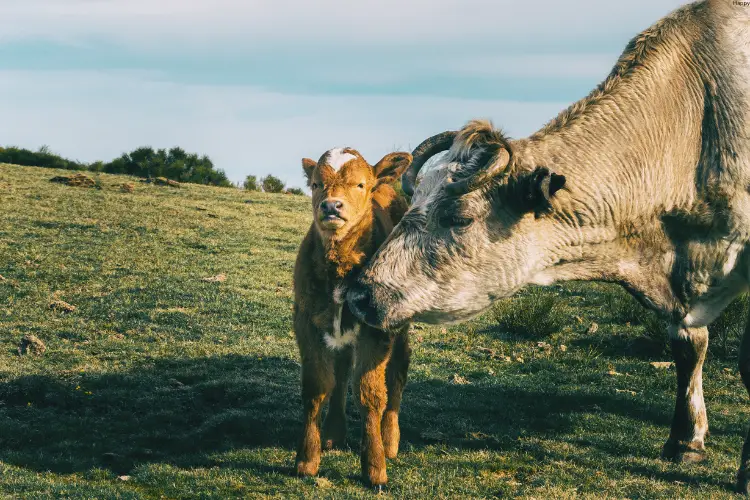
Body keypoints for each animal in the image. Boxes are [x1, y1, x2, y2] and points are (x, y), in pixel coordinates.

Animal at [292, 147, 412, 488]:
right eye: (316, 184)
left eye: (359, 185)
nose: (332, 206)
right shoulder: (306, 322)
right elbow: (317, 386)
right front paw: (307, 459)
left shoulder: (377, 331)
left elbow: (370, 394)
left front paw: (374, 466)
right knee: (342, 371)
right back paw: (334, 433)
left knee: (397, 374)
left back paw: (390, 440)